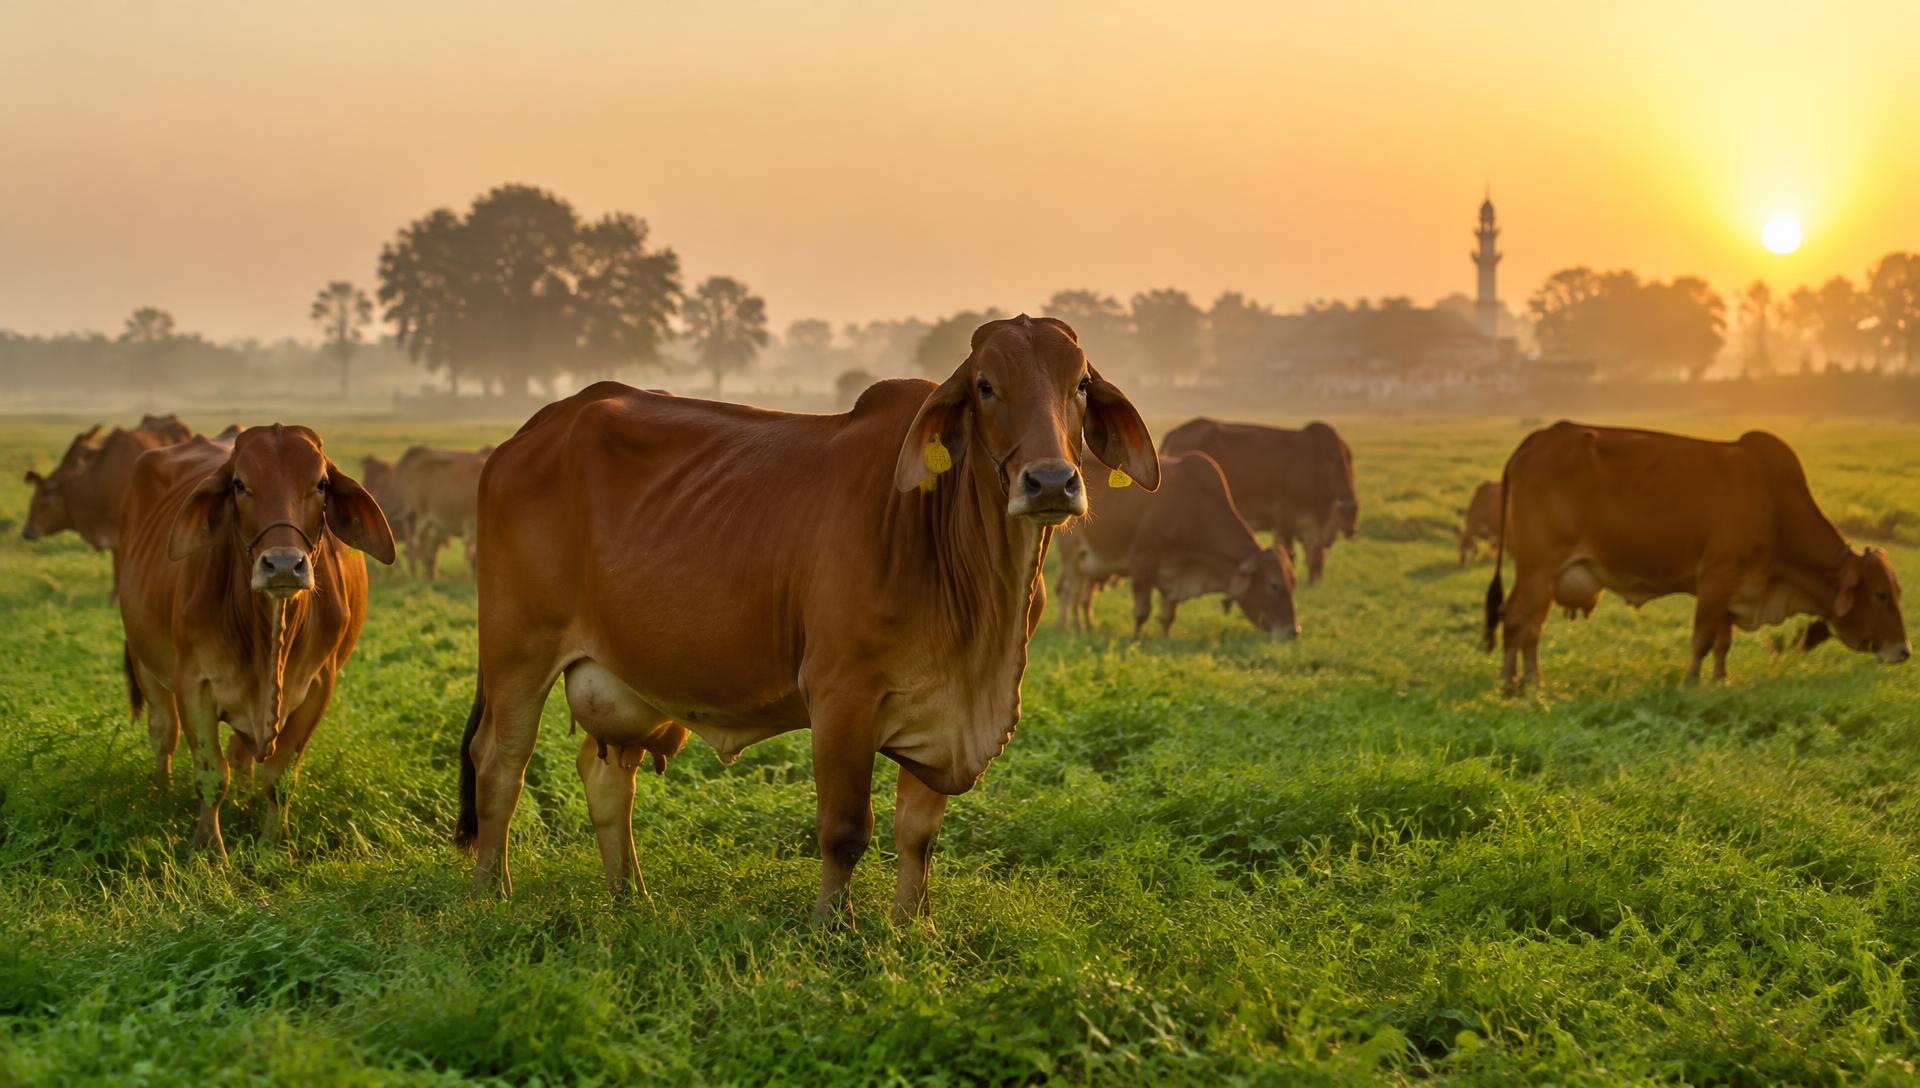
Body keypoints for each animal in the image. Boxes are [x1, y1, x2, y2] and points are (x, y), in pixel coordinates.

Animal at [115, 425, 395, 855]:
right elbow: (211, 774)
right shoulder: (194, 685)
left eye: (321, 484)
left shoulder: (318, 687)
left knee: (240, 752)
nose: (283, 565)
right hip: (145, 662)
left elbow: (280, 778)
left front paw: (272, 844)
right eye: (239, 484)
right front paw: (208, 848)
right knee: (163, 733)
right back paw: (159, 792)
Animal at [455, 315, 1159, 926]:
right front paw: (831, 928)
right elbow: (845, 831)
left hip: (624, 674)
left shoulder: (942, 714)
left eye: (1081, 385)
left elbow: (918, 836)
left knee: (605, 774)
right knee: (500, 763)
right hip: (517, 651)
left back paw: (632, 897)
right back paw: (492, 892)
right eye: (986, 385)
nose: (1051, 482)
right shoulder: (842, 698)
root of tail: (539, 426)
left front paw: (914, 928)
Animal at [1053, 452, 1298, 638]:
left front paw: (1165, 638)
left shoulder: (1174, 571)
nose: (1293, 631)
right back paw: (1066, 626)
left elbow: (1168, 615)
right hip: (1072, 554)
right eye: (1274, 585)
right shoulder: (1142, 562)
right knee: (1069, 591)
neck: (1194, 508)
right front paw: (1135, 638)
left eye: (1292, 584)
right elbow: (1142, 611)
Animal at [1160, 418, 1357, 583]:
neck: (1321, 464)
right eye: (1347, 514)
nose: (1351, 531)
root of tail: (1174, 433)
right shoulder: (1286, 516)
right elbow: (1292, 553)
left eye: (1355, 514)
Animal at [1483, 421, 1910, 687]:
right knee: (1516, 618)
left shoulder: (1734, 591)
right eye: (1879, 595)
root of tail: (1538, 439)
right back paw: (1514, 681)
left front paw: (1720, 680)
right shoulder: (1716, 579)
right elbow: (1702, 639)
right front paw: (1690, 682)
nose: (1903, 651)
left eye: (1896, 593)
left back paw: (1529, 678)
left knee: (1531, 626)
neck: (1774, 507)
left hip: (1547, 577)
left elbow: (1722, 643)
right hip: (1537, 568)